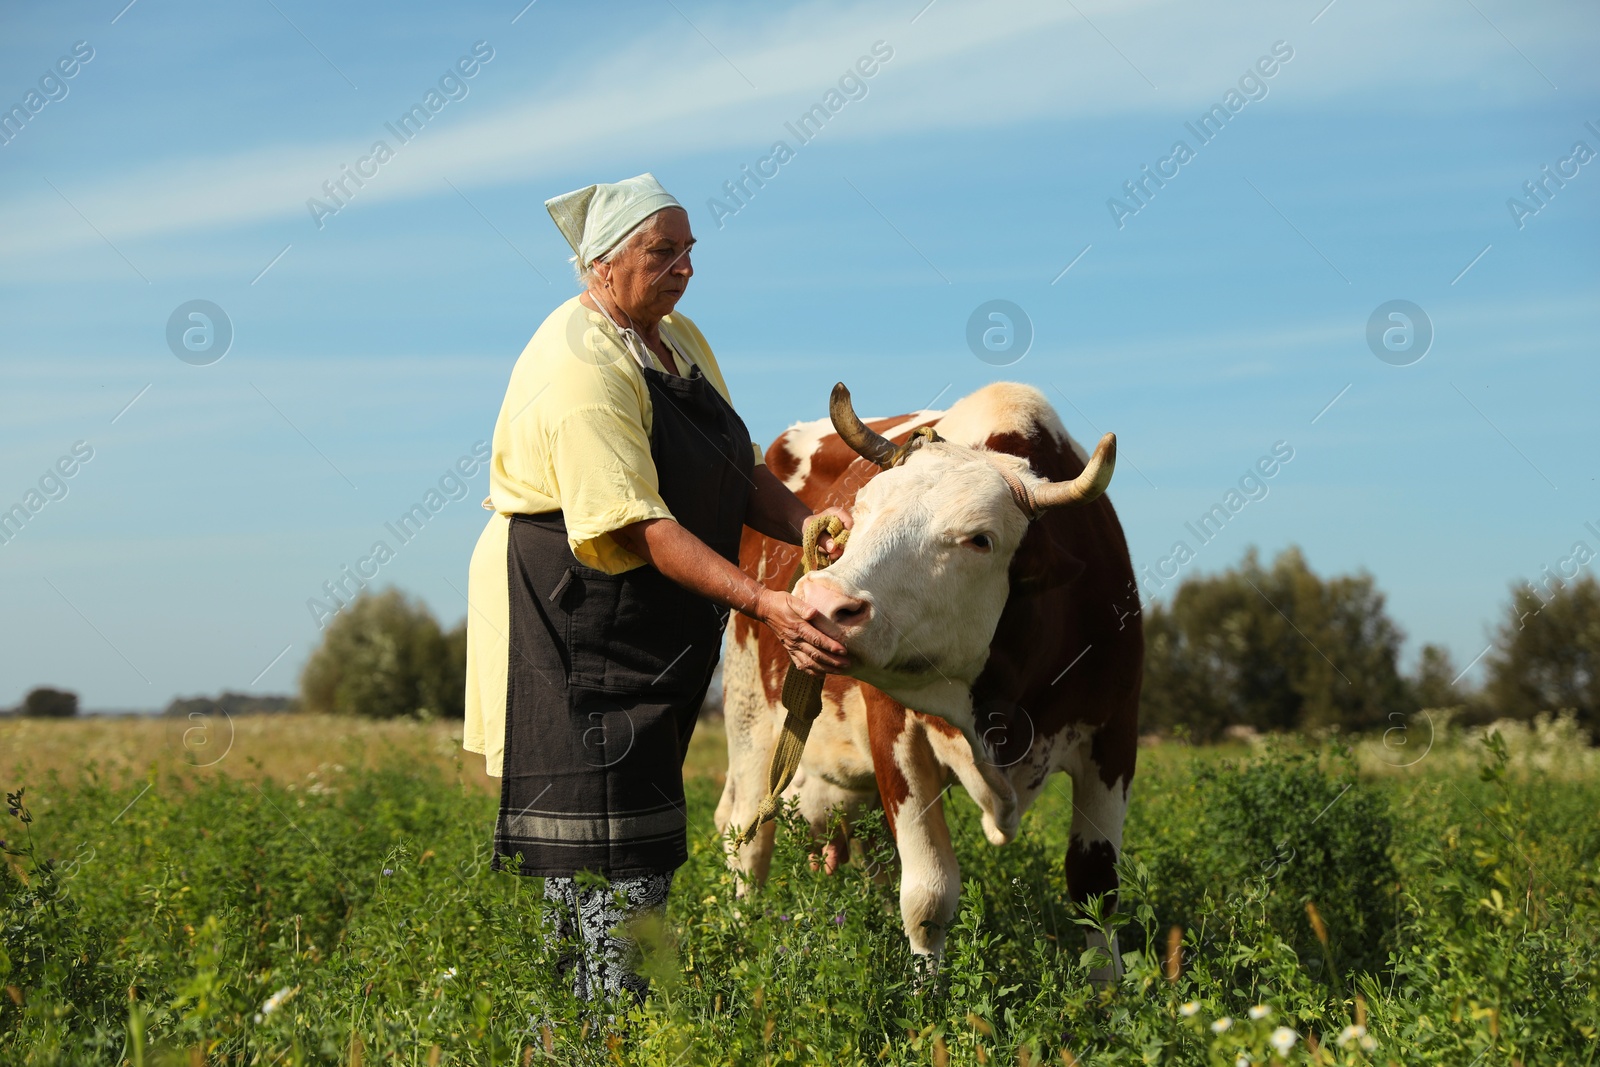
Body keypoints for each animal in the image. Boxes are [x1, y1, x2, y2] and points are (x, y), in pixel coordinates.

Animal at [710, 379, 1139, 979]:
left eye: (980, 540)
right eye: (858, 512)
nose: (820, 602)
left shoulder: (1115, 736)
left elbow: (1095, 889)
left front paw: (1108, 995)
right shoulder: (897, 734)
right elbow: (928, 894)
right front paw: (926, 993)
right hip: (750, 721)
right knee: (748, 839)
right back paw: (741, 941)